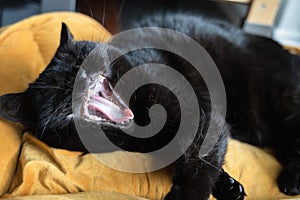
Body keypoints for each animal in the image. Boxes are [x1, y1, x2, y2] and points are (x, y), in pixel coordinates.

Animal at [0, 13, 298, 198]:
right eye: (60, 88)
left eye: (80, 57)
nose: (80, 75)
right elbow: (204, 155)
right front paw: (229, 187)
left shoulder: (200, 111)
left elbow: (200, 156)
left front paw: (187, 195)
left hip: (281, 97)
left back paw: (291, 182)